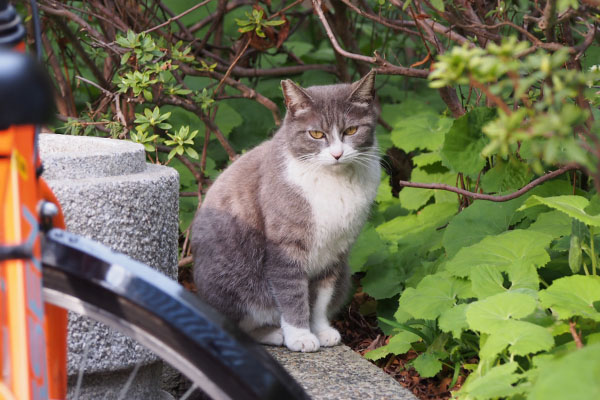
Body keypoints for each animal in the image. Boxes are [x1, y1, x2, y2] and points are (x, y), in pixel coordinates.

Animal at [191, 70, 380, 352]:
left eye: (351, 130)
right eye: (316, 134)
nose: (337, 154)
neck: (333, 183)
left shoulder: (335, 251)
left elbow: (321, 297)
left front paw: (320, 330)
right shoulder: (286, 246)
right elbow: (292, 294)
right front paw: (300, 336)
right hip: (232, 281)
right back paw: (275, 334)